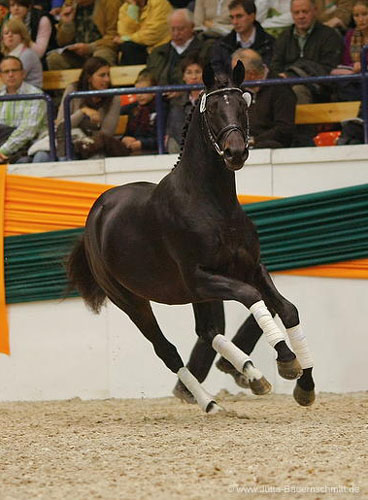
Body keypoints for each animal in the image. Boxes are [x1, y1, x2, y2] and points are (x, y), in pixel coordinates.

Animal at [66, 62, 314, 412]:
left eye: (243, 106)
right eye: (213, 109)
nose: (235, 152)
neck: (213, 204)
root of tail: (97, 214)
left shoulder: (248, 269)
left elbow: (287, 309)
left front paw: (305, 385)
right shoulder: (201, 278)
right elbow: (251, 297)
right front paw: (288, 360)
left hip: (198, 296)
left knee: (208, 331)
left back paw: (251, 375)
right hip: (133, 301)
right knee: (167, 349)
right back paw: (210, 403)